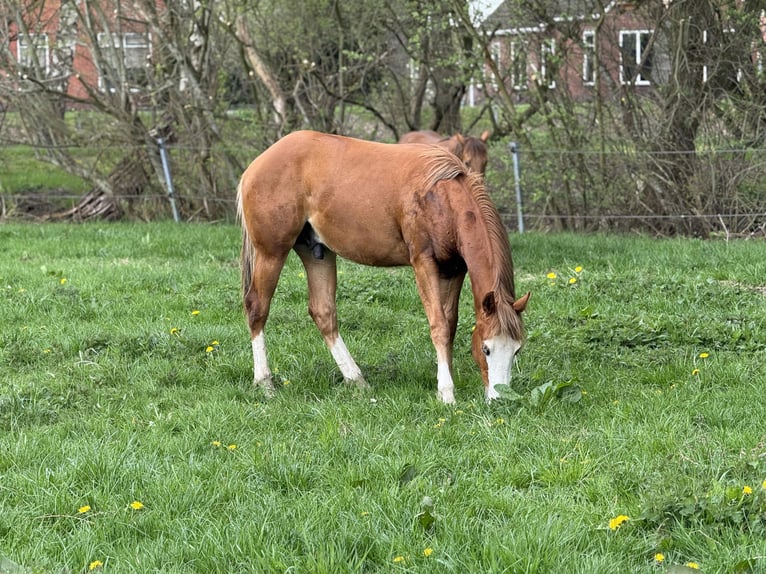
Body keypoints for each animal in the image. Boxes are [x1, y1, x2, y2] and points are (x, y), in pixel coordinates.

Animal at [237, 130, 528, 403]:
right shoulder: (423, 263)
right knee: (257, 307)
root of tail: (255, 166)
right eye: (486, 349)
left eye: (516, 350)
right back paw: (265, 383)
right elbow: (439, 326)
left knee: (323, 312)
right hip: (271, 253)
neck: (442, 196)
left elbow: (450, 323)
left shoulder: (454, 269)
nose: (500, 398)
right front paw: (446, 393)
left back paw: (356, 380)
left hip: (316, 252)